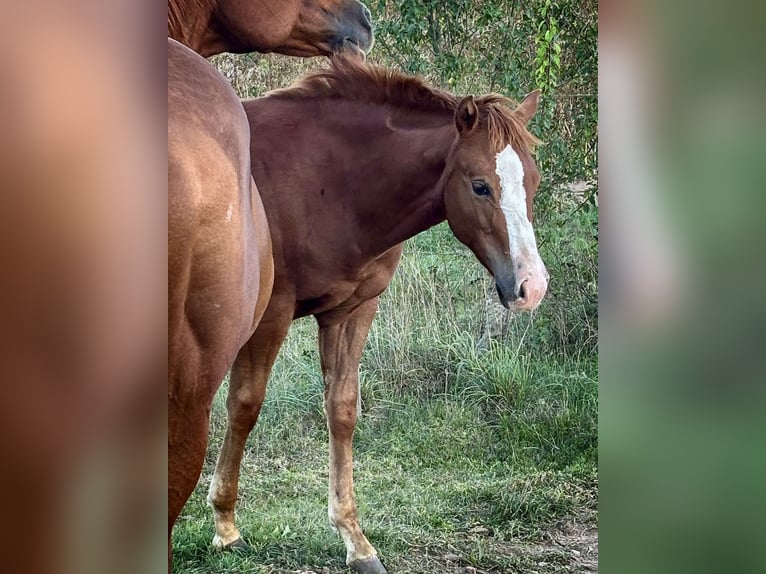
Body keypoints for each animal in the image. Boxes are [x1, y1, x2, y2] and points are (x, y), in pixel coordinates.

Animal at [206, 58, 549, 574]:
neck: (327, 183)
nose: (533, 286)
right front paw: (226, 525)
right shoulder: (271, 315)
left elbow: (342, 409)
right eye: (480, 185)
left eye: (534, 181)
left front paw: (355, 539)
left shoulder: (353, 311)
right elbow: (244, 406)